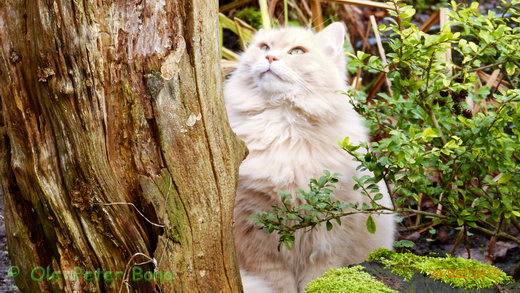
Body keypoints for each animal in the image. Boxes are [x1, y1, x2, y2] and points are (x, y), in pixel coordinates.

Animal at [223, 22, 394, 292]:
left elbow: (318, 278)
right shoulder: (257, 237)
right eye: (265, 47)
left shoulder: (330, 234)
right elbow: (279, 284)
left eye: (296, 52)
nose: (270, 58)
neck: (283, 126)